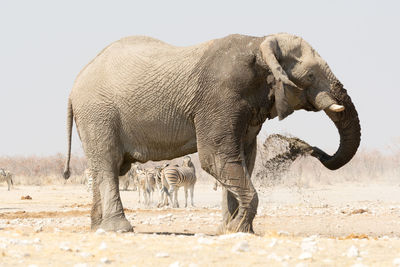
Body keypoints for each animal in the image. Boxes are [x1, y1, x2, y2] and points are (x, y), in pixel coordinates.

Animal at [64, 33, 360, 233]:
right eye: (310, 76)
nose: (303, 147)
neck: (260, 43)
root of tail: (75, 85)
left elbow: (243, 159)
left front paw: (232, 230)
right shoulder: (220, 96)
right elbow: (216, 158)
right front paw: (239, 229)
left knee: (105, 167)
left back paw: (98, 228)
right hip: (98, 113)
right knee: (108, 164)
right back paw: (119, 229)